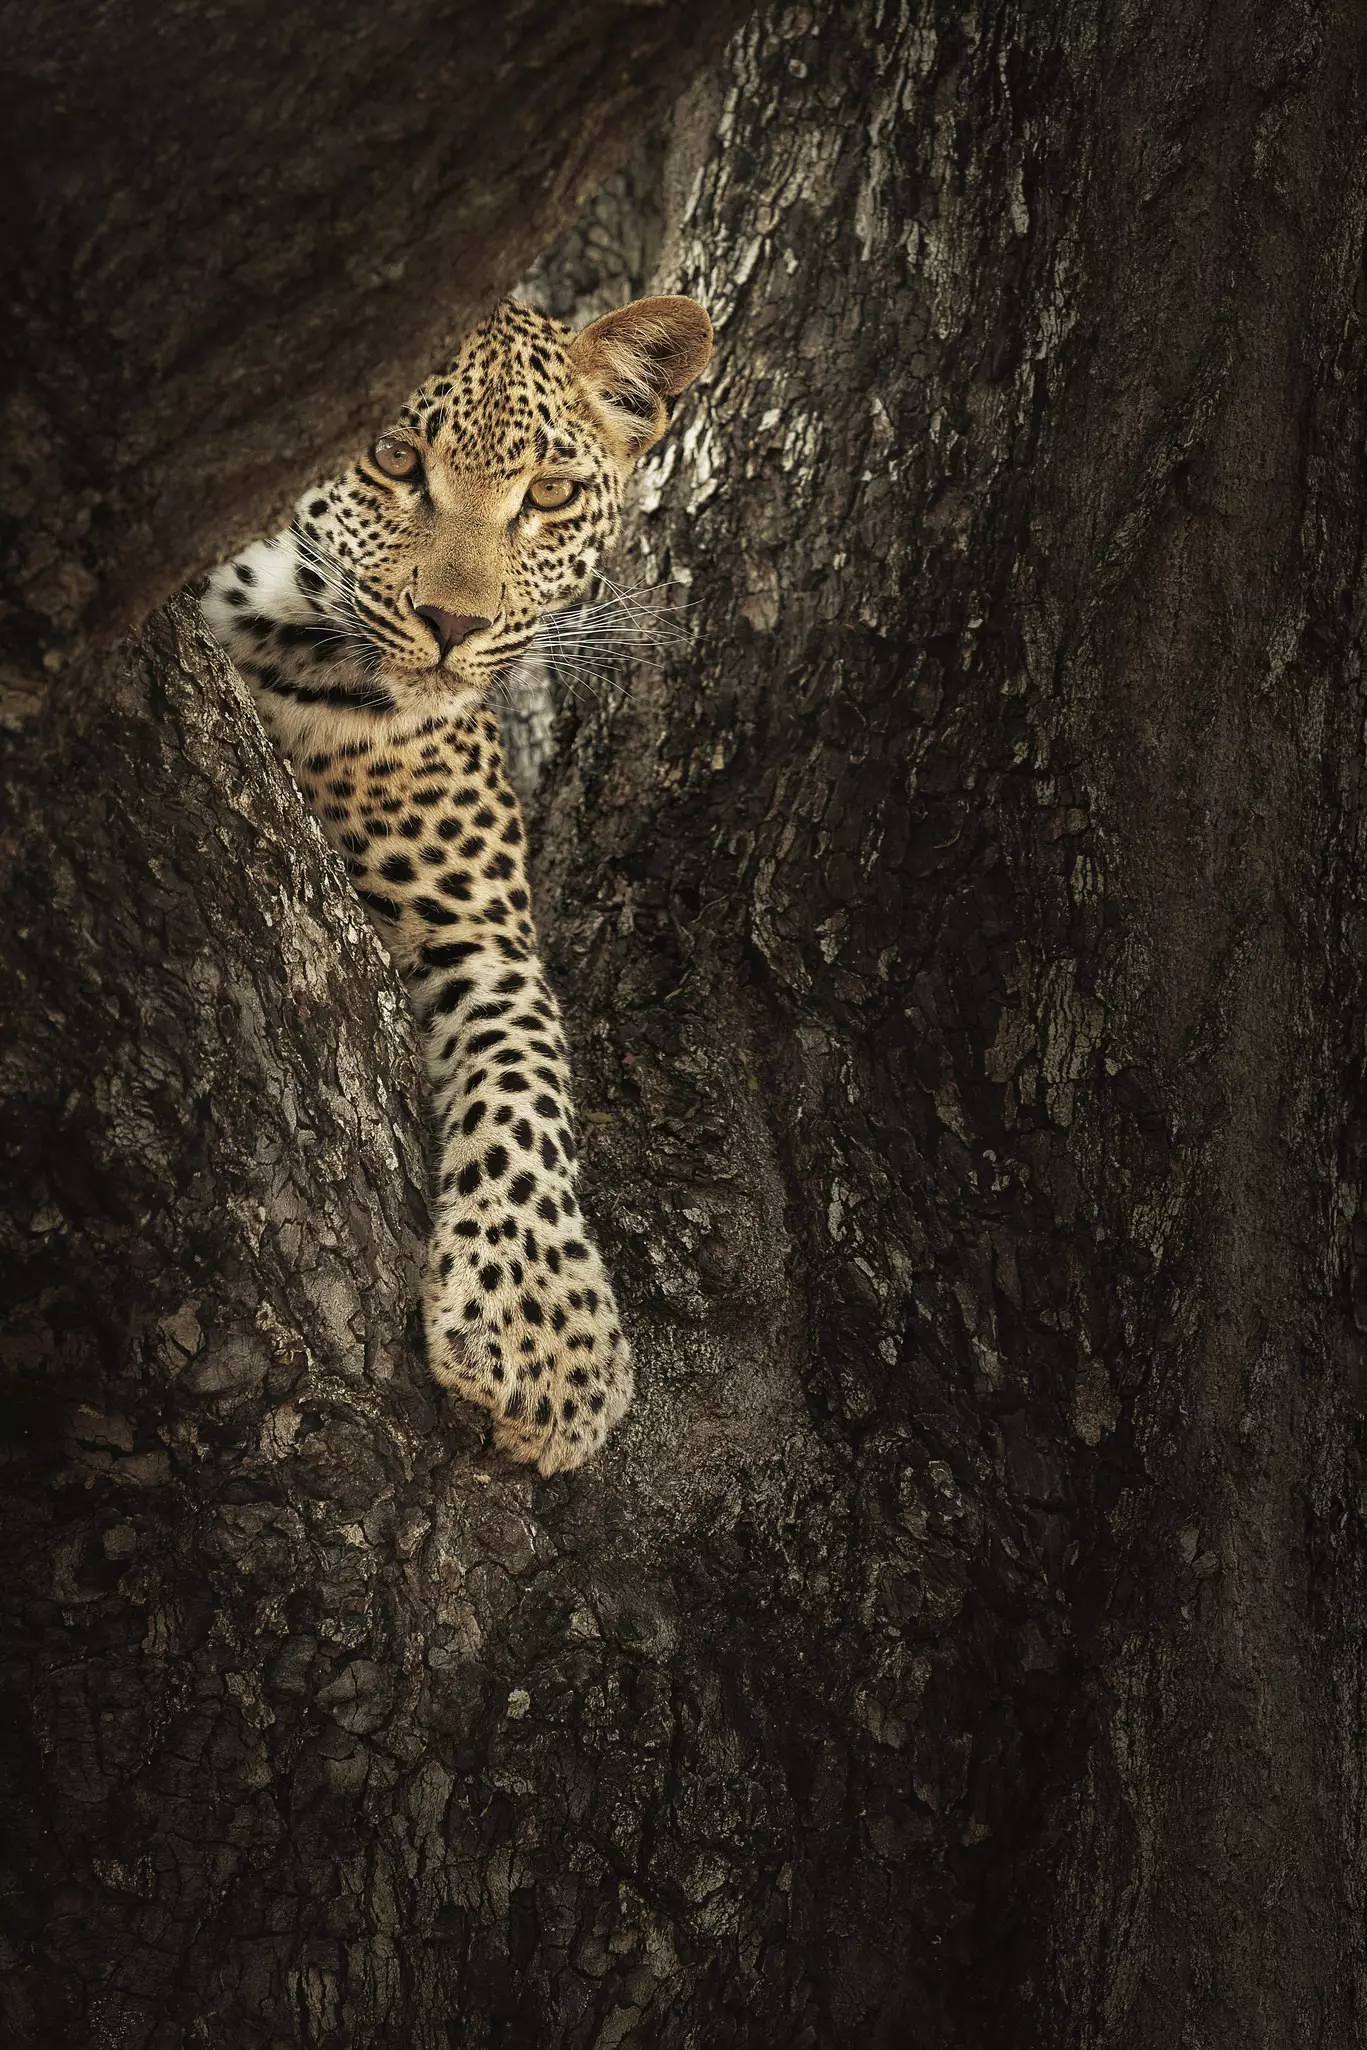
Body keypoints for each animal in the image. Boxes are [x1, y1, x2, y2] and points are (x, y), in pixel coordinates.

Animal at [200, 294, 713, 1473]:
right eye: (394, 459)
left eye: (550, 494)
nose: (453, 628)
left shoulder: (477, 932)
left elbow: (526, 1080)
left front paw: (542, 1329)